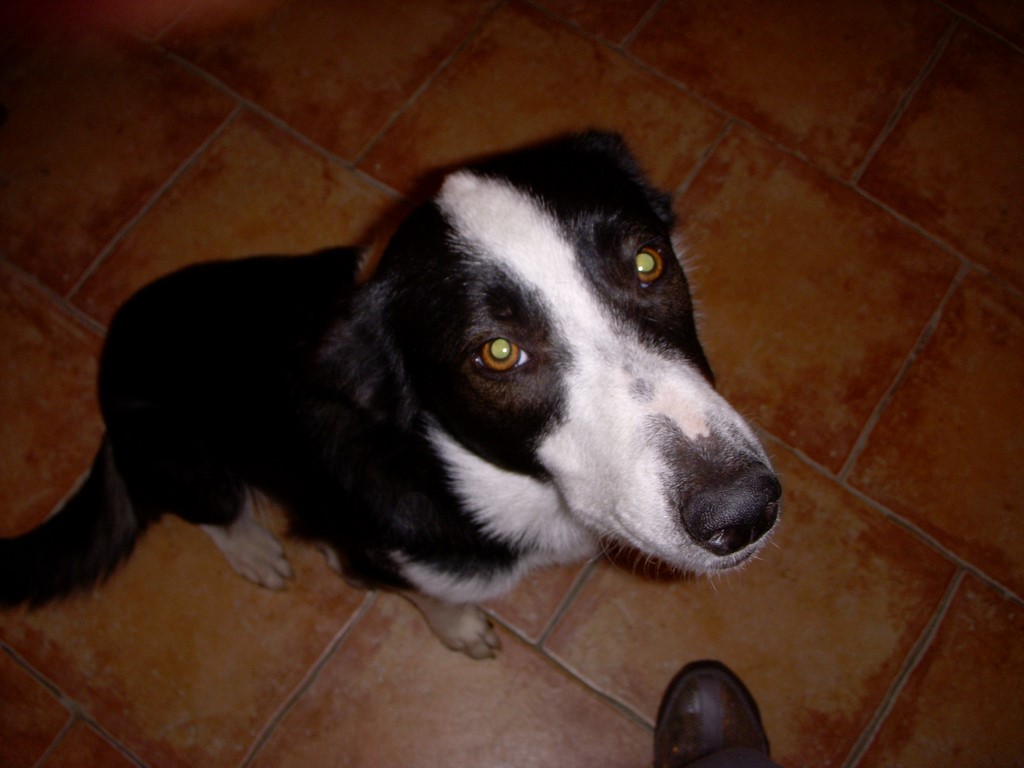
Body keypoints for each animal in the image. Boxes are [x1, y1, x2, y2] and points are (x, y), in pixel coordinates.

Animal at [0, 132, 780, 658]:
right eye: (498, 352)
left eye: (648, 262)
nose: (743, 512)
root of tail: (109, 369)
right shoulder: (391, 553)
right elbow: (430, 595)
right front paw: (459, 627)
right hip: (186, 456)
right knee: (212, 510)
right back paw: (255, 549)